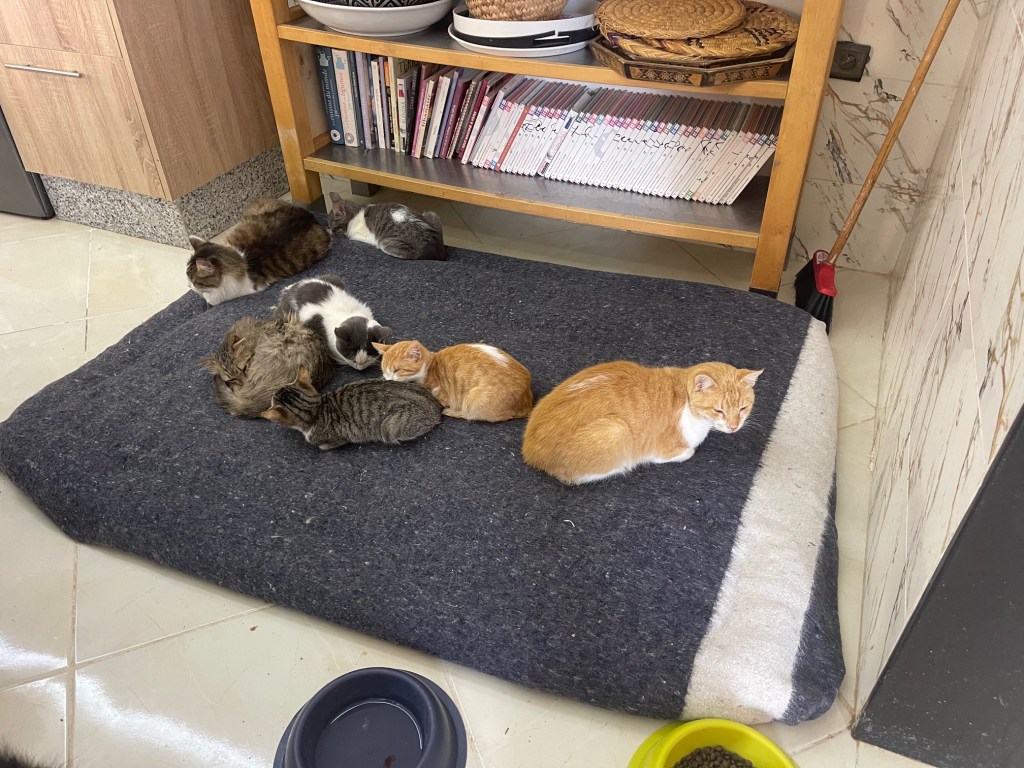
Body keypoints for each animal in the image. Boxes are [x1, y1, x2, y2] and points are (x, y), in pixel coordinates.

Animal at [186, 198, 331, 305]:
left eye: (194, 281)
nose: (189, 286)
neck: (242, 259)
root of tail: (310, 216)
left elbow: (211, 298)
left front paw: (206, 297)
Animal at [373, 340, 533, 422]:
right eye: (384, 371)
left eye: (396, 370)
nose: (388, 379)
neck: (429, 368)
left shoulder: (439, 393)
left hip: (473, 398)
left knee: (470, 414)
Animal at [521, 361, 763, 485]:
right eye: (719, 410)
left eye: (742, 409)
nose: (734, 426)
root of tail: (530, 451)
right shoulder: (663, 451)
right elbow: (688, 452)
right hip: (617, 429)